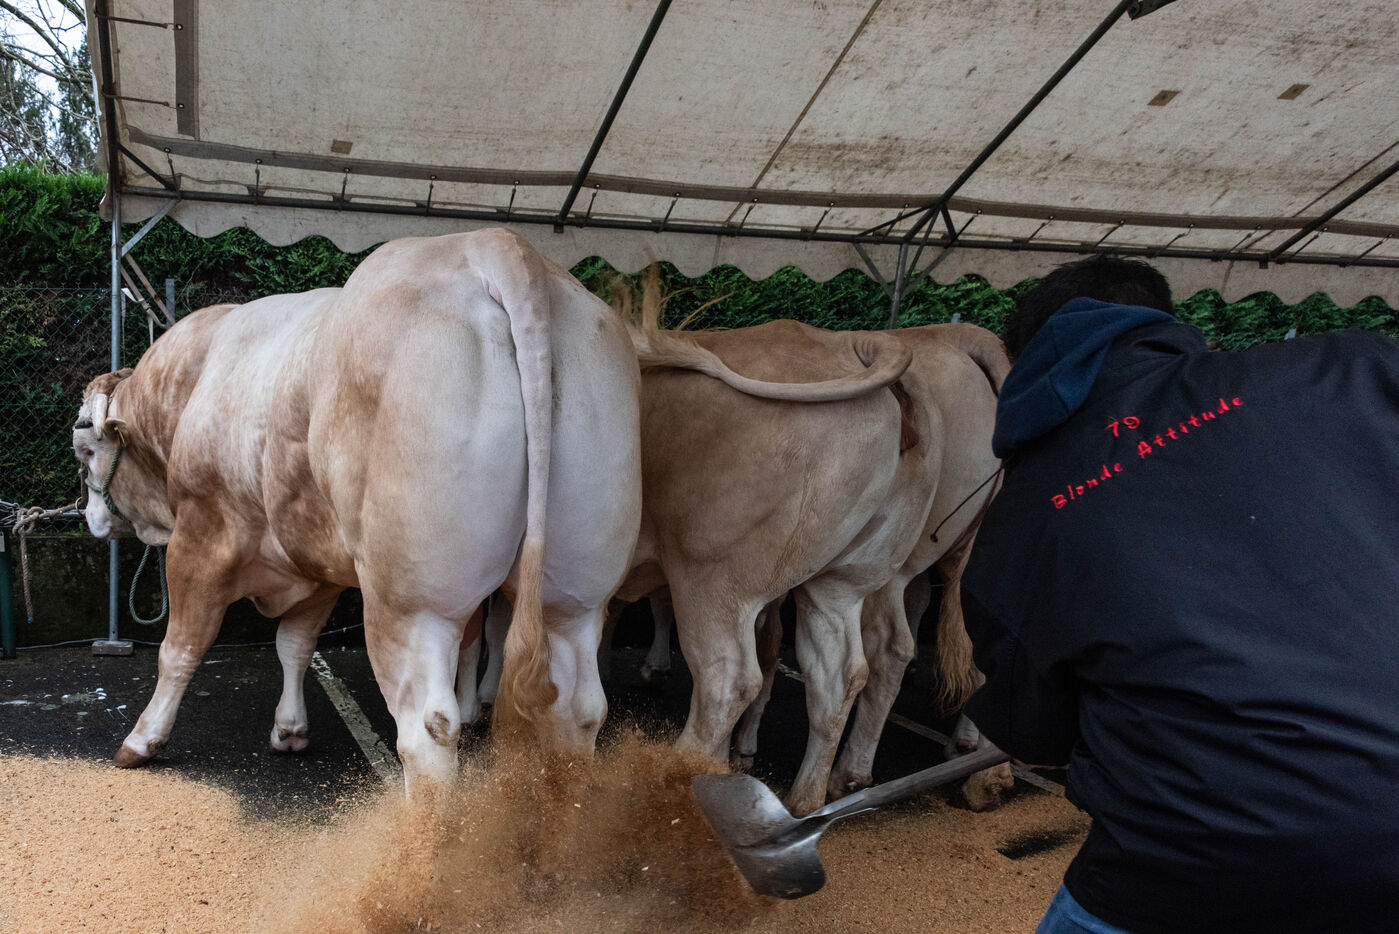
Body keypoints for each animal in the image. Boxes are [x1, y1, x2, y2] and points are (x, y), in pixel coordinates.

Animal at [70, 229, 643, 796]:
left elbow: (181, 648)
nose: (89, 518)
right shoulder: (314, 562)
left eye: (85, 453)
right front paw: (290, 730)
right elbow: (295, 645)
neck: (194, 380)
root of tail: (494, 244)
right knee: (580, 706)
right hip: (576, 593)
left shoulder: (202, 537)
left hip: (411, 601)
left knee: (429, 730)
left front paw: (142, 740)